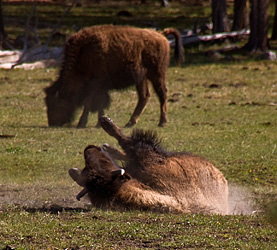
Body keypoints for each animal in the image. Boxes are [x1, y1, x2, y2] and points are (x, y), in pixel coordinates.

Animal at [44, 24, 183, 128]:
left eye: (55, 102)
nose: (52, 123)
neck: (82, 53)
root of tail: (161, 34)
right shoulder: (100, 88)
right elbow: (99, 103)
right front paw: (99, 123)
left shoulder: (96, 84)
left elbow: (89, 103)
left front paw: (82, 123)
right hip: (142, 78)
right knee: (144, 96)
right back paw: (130, 123)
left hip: (157, 75)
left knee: (162, 94)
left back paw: (162, 122)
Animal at [69, 116, 229, 214]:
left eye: (103, 163)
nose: (89, 148)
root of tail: (223, 180)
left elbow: (126, 142)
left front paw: (106, 124)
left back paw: (107, 136)